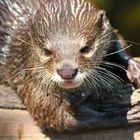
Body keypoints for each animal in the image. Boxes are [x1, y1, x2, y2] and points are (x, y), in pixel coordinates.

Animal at [0, 0, 140, 133]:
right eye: (46, 51)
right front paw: (127, 114)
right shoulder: (32, 86)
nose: (67, 72)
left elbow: (118, 45)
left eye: (86, 48)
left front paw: (135, 70)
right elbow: (61, 119)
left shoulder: (110, 34)